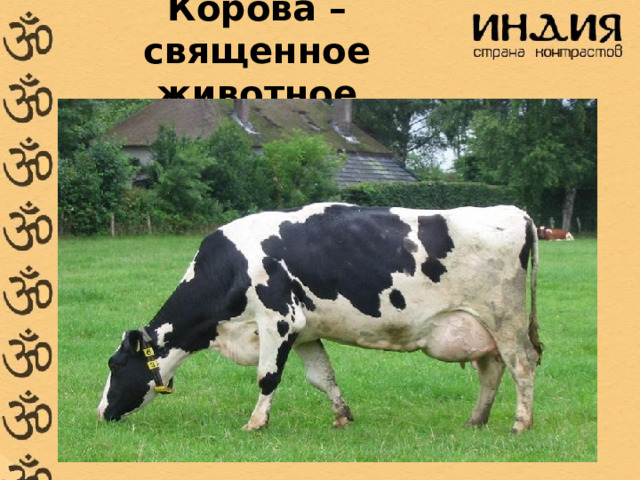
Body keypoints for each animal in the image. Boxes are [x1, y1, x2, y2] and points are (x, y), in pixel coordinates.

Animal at [98, 203, 542, 434]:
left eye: (116, 365)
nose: (101, 411)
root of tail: (517, 212)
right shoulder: (305, 331)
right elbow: (322, 376)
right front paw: (342, 415)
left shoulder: (278, 321)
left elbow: (267, 377)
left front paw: (255, 423)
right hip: (482, 327)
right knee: (491, 370)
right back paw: (476, 420)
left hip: (505, 318)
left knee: (521, 365)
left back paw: (520, 424)